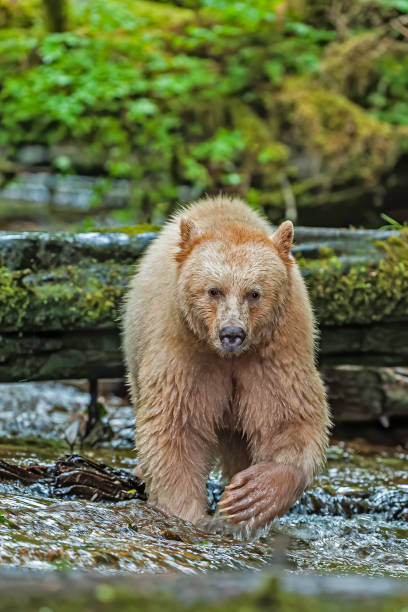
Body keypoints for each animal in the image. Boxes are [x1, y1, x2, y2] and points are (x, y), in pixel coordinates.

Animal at [122, 196, 330, 532]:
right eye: (213, 290)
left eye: (254, 293)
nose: (232, 333)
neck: (229, 357)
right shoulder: (185, 351)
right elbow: (176, 425)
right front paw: (187, 513)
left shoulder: (275, 353)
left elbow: (289, 418)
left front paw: (251, 496)